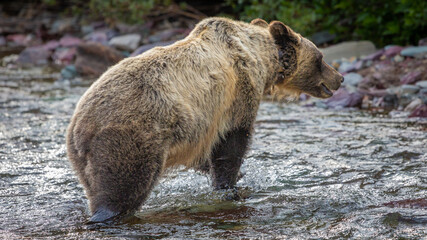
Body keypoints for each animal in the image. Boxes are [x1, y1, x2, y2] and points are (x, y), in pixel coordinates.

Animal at [65, 16, 342, 223]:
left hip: (82, 158)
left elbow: (205, 152)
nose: (339, 78)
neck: (262, 59)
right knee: (124, 186)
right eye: (320, 58)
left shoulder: (203, 125)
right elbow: (231, 145)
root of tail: (82, 125)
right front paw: (229, 186)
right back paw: (107, 214)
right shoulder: (238, 95)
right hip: (132, 135)